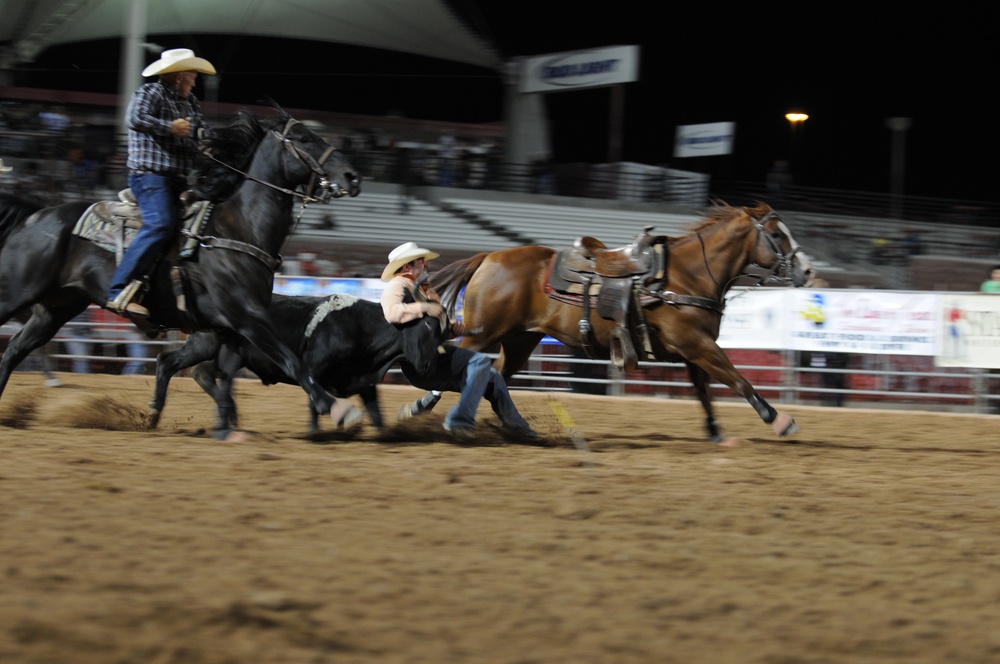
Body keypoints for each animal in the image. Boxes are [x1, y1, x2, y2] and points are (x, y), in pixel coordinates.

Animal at [0, 109, 362, 430]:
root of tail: (36, 214)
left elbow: (223, 375)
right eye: (304, 138)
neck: (237, 229)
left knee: (15, 351)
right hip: (16, 294)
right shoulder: (248, 318)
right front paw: (340, 410)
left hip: (56, 309)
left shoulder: (227, 330)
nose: (352, 176)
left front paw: (228, 422)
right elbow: (291, 361)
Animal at [424, 200, 812, 444]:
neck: (688, 275)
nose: (807, 270)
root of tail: (488, 257)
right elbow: (738, 379)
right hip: (483, 334)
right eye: (777, 234)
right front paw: (780, 420)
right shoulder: (698, 345)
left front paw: (715, 431)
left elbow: (705, 392)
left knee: (494, 376)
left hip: (521, 341)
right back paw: (427, 407)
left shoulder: (695, 350)